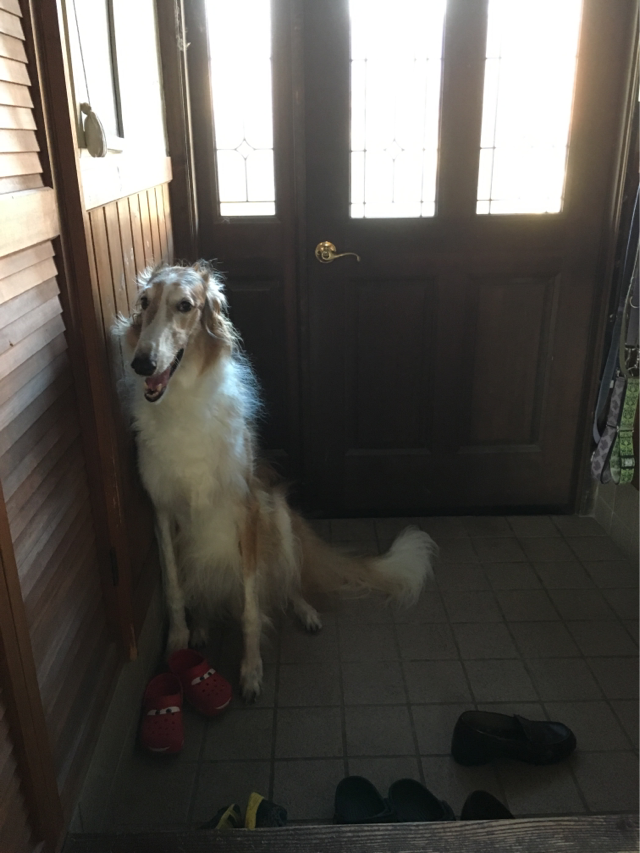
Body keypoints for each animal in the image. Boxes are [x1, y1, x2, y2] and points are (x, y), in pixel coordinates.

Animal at [116, 261, 436, 700]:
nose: (142, 364)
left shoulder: (247, 509)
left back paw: (305, 611)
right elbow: (175, 589)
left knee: (288, 582)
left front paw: (251, 670)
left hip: (278, 514)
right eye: (144, 302)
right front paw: (178, 643)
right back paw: (202, 626)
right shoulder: (162, 511)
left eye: (185, 305)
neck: (182, 399)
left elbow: (252, 607)